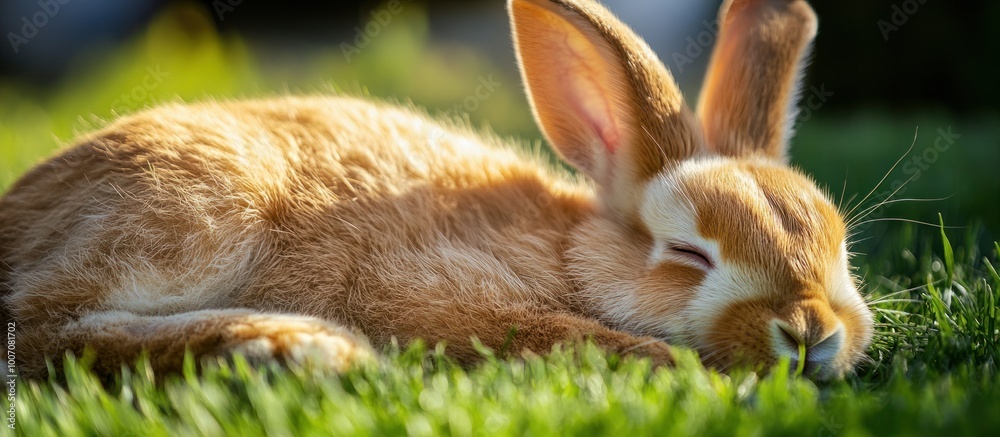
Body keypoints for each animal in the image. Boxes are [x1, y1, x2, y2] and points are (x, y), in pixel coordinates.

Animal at [0, 0, 874, 381]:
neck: (565, 251)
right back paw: (295, 345)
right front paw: (666, 361)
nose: (811, 330)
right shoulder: (424, 291)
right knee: (38, 328)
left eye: (838, 246)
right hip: (197, 211)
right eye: (690, 252)